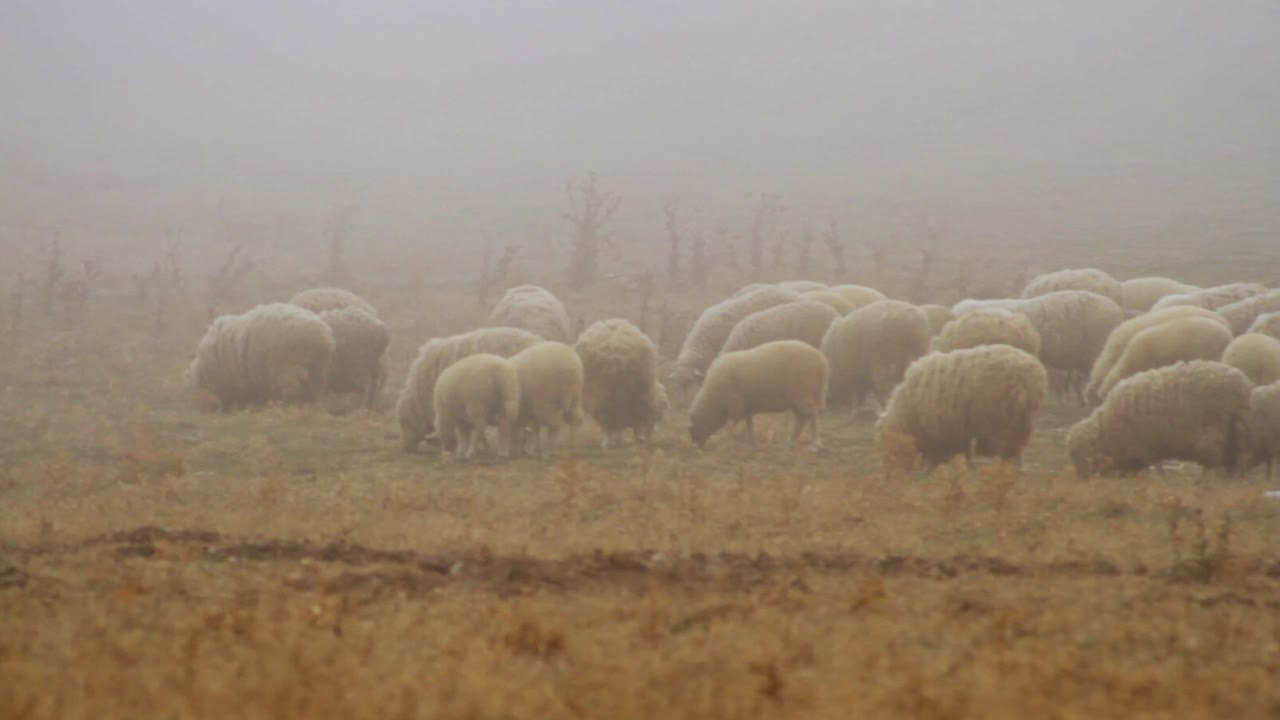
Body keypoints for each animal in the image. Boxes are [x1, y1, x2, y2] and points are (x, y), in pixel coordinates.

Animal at [689, 340, 828, 448]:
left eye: (693, 428)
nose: (695, 446)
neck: (714, 399)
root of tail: (820, 360)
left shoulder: (735, 405)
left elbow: (731, 425)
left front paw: (728, 441)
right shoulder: (746, 408)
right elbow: (749, 424)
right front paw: (752, 442)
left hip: (802, 393)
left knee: (812, 415)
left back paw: (816, 443)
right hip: (797, 398)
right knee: (801, 419)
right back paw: (791, 441)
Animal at [875, 345, 1048, 475]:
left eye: (885, 444)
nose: (888, 475)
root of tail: (1028, 379)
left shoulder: (939, 434)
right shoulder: (959, 434)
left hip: (1003, 426)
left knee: (1008, 455)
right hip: (1021, 424)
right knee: (1014, 455)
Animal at [1066, 361, 1253, 478]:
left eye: (1077, 452)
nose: (1081, 478)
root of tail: (1242, 382)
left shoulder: (1138, 451)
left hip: (1214, 427)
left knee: (1213, 459)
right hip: (1238, 427)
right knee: (1238, 458)